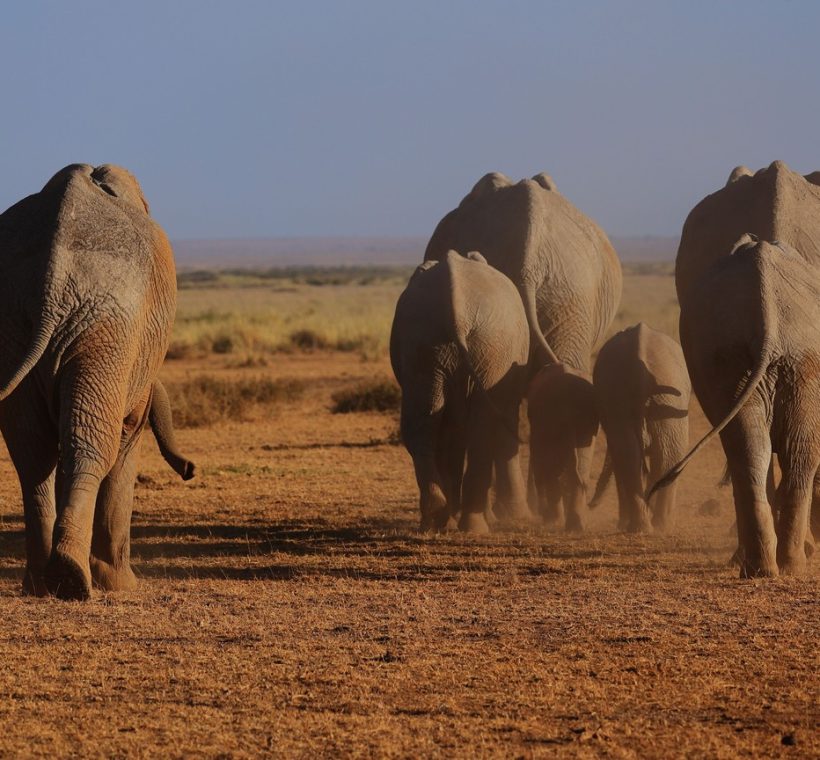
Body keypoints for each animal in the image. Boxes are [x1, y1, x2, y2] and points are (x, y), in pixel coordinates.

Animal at [0, 163, 194, 600]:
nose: (190, 470)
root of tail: (52, 280)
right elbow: (126, 442)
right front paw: (120, 584)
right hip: (108, 325)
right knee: (91, 445)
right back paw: (74, 579)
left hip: (21, 324)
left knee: (33, 451)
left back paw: (44, 583)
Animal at [390, 250, 529, 533]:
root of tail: (458, 310)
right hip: (489, 349)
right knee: (479, 427)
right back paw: (468, 525)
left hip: (429, 342)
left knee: (422, 421)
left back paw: (436, 520)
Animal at [424, 172, 622, 530]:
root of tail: (528, 261)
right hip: (571, 297)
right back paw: (545, 511)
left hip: (567, 296)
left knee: (515, 401)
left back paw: (526, 510)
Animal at [591, 323, 690, 533]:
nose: (591, 505)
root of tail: (641, 379)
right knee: (655, 454)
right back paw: (654, 527)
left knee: (639, 454)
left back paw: (649, 526)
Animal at [652, 237, 820, 577]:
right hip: (747, 356)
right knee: (771, 449)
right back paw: (781, 566)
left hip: (760, 355)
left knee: (764, 448)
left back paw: (770, 568)